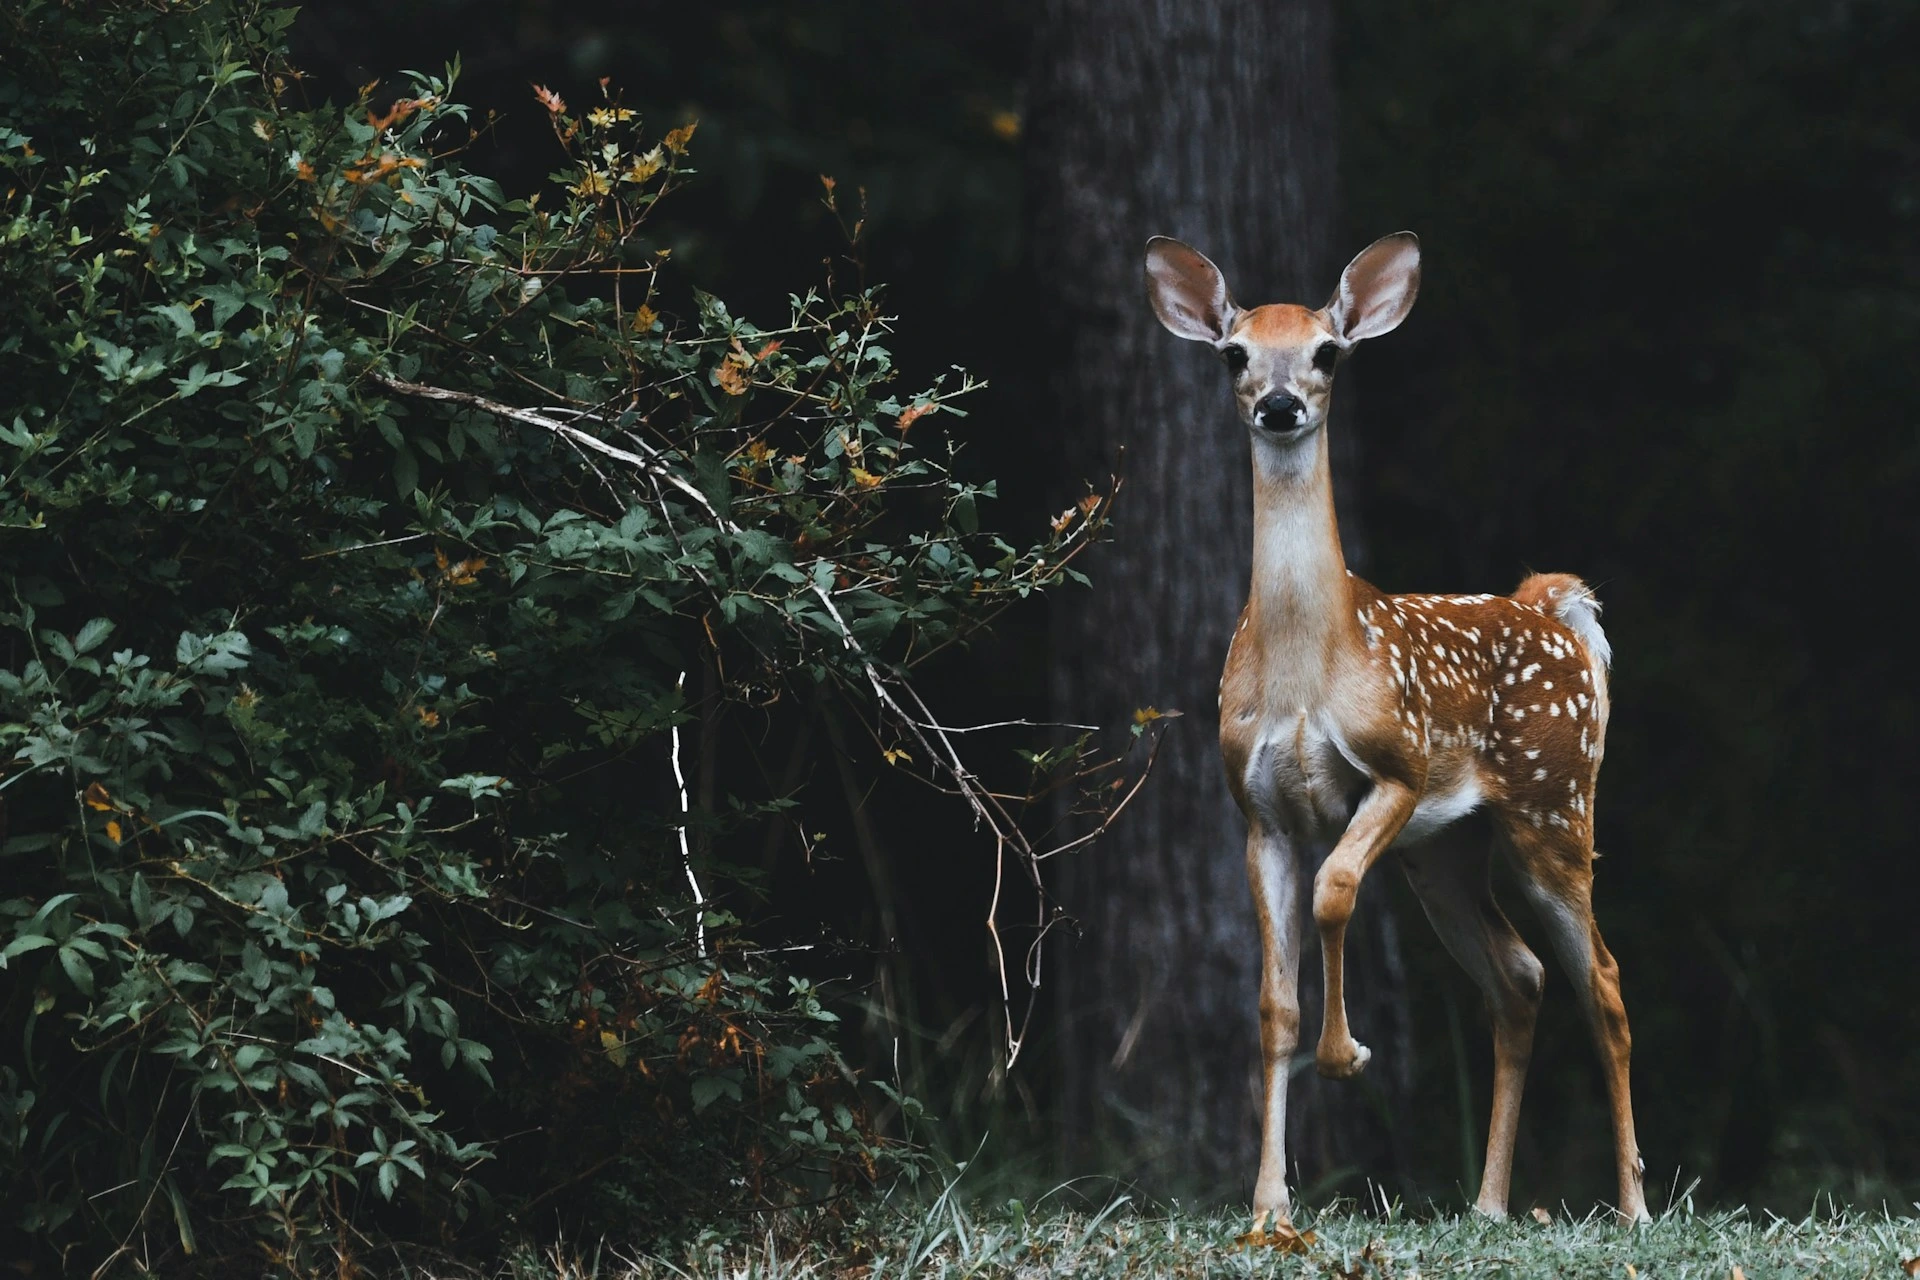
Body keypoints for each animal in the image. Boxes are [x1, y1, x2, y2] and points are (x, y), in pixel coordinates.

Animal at [1136, 230, 1651, 1228]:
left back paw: (1634, 1206)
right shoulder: (1257, 812)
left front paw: (1349, 1056)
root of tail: (1555, 610)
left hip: (1554, 808)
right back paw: (1488, 1205)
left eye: (1329, 352)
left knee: (1602, 981)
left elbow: (1335, 891)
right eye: (1234, 355)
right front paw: (1270, 1205)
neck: (1309, 670)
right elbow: (1274, 1005)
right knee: (1519, 977)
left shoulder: (1397, 769)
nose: (1282, 404)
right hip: (1446, 852)